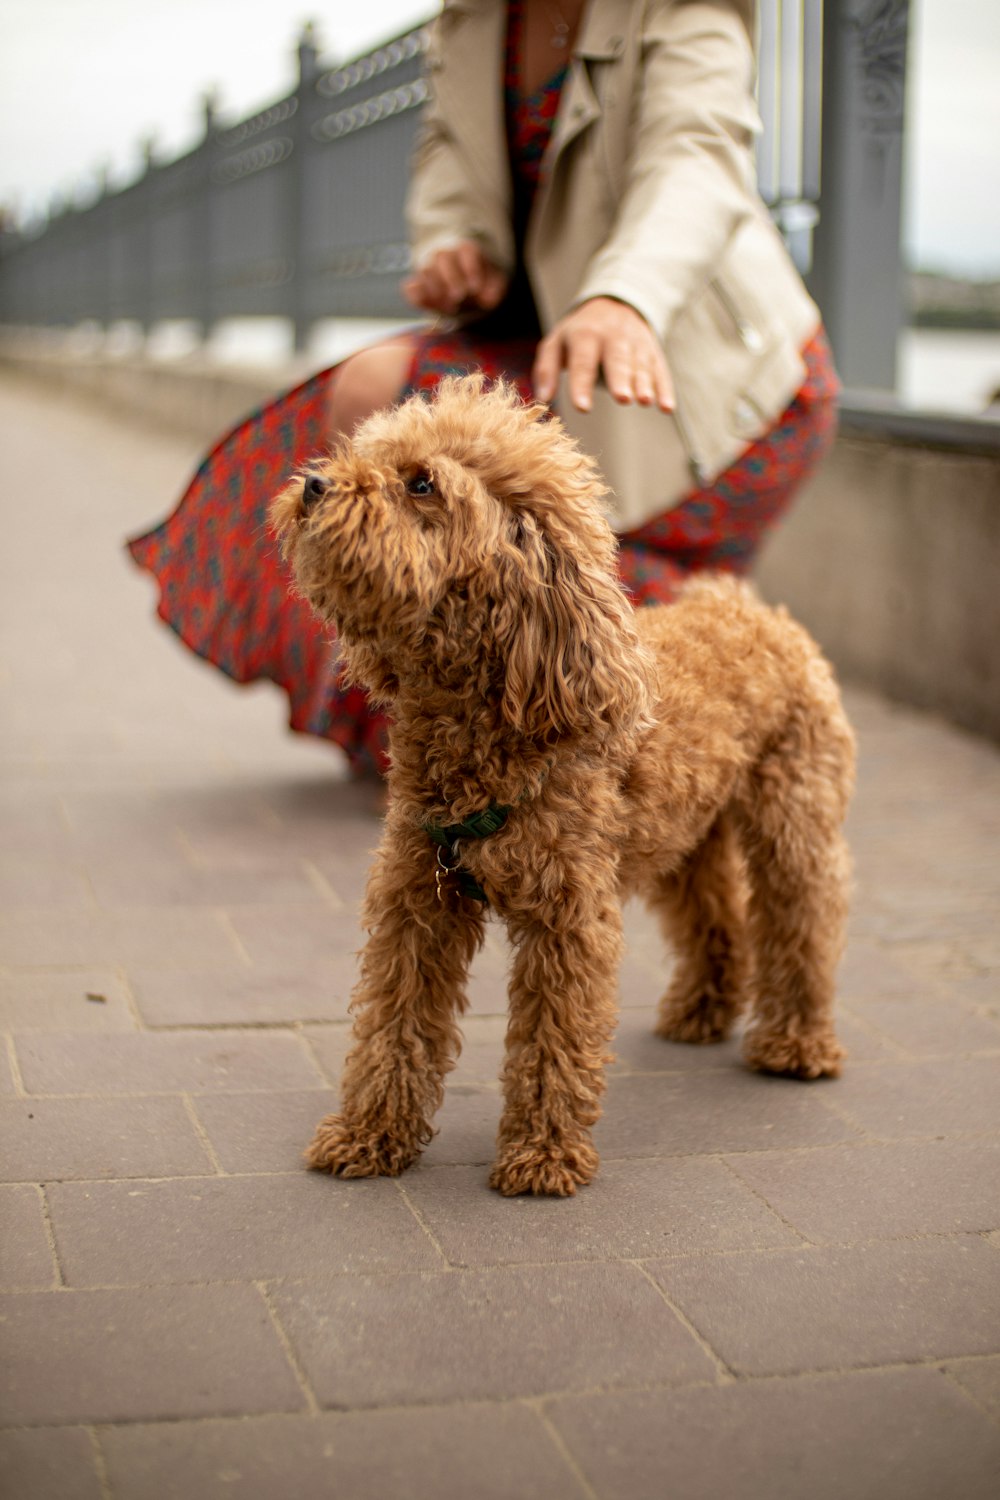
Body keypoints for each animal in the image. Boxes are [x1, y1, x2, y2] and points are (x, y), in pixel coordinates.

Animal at [271, 375, 851, 1194]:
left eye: (422, 484)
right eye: (372, 454)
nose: (315, 484)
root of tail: (750, 609)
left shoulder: (567, 915)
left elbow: (554, 1036)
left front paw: (543, 1155)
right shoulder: (416, 901)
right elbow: (393, 1021)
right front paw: (371, 1133)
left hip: (792, 813)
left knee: (803, 919)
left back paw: (797, 1044)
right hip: (687, 831)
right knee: (715, 913)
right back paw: (701, 1011)